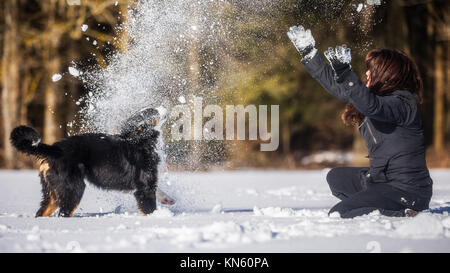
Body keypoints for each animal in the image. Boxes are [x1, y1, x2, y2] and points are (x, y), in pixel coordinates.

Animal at [11, 107, 174, 216]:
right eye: (152, 112)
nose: (164, 106)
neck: (139, 140)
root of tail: (53, 148)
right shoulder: (144, 186)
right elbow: (149, 208)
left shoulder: (146, 183)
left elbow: (159, 191)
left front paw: (168, 199)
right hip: (73, 188)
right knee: (64, 213)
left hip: (52, 192)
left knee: (42, 212)